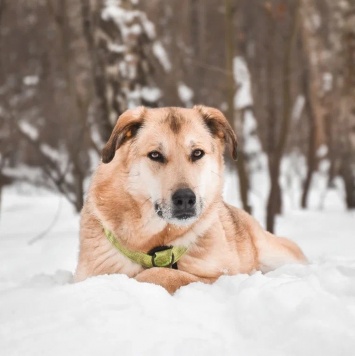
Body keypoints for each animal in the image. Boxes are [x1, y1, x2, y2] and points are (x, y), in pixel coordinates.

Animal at [76, 105, 308, 292]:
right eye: (155, 155)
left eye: (197, 153)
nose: (186, 199)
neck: (157, 245)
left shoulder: (220, 276)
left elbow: (165, 275)